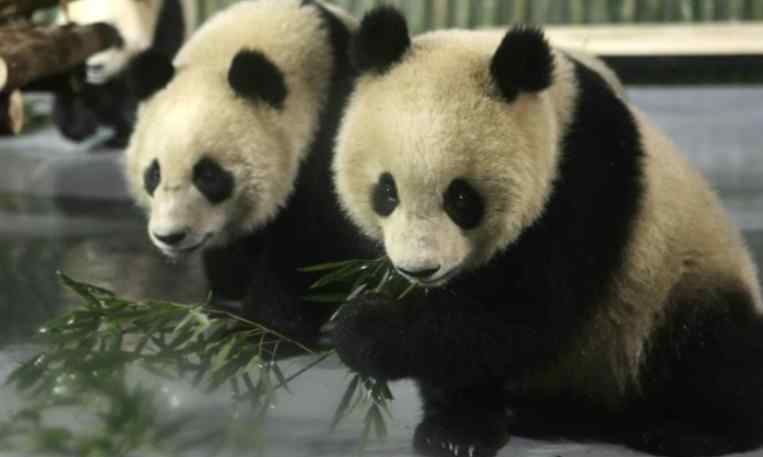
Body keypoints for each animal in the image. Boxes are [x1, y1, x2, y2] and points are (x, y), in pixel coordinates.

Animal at [126, 0, 376, 346]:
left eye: (208, 176)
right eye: (153, 175)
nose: (170, 236)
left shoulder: (331, 136)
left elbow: (314, 247)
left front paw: (262, 327)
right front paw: (226, 300)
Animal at [332, 6, 763, 456]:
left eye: (461, 199)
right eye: (387, 191)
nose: (420, 270)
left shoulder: (584, 181)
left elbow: (523, 313)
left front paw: (359, 328)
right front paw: (455, 428)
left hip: (674, 284)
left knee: (711, 350)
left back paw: (688, 430)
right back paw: (540, 415)